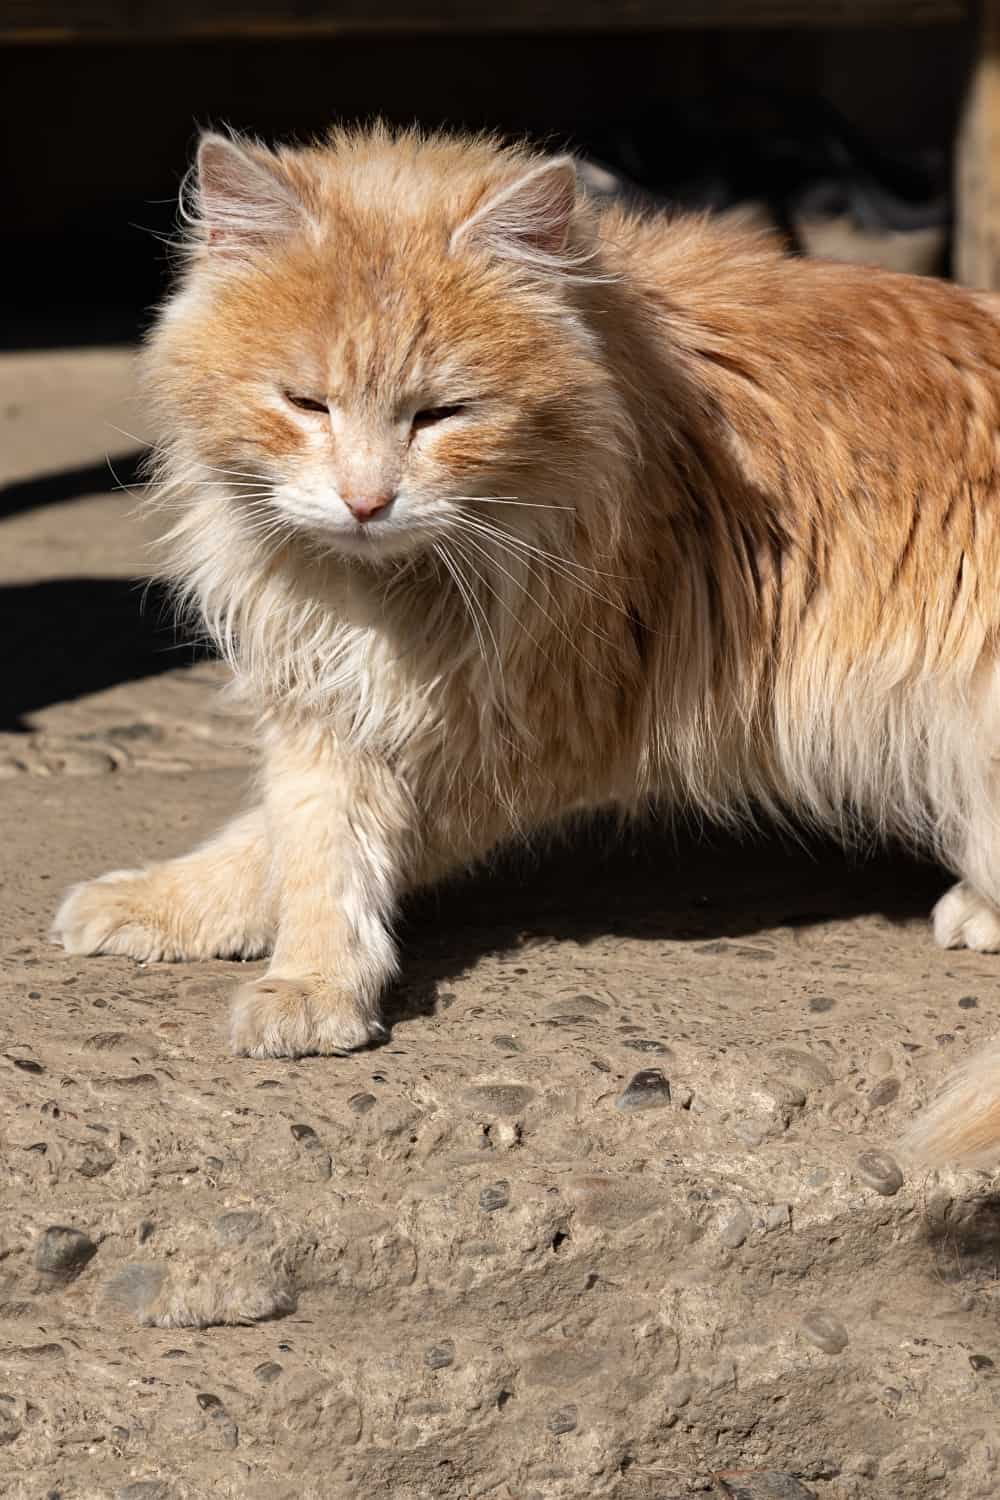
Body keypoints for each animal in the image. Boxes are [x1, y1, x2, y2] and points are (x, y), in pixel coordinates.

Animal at [50, 126, 1000, 1158]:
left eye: (440, 414)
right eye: (306, 404)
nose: (366, 501)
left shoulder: (513, 729)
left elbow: (314, 851)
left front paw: (309, 982)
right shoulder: (334, 704)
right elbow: (300, 839)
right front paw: (210, 927)